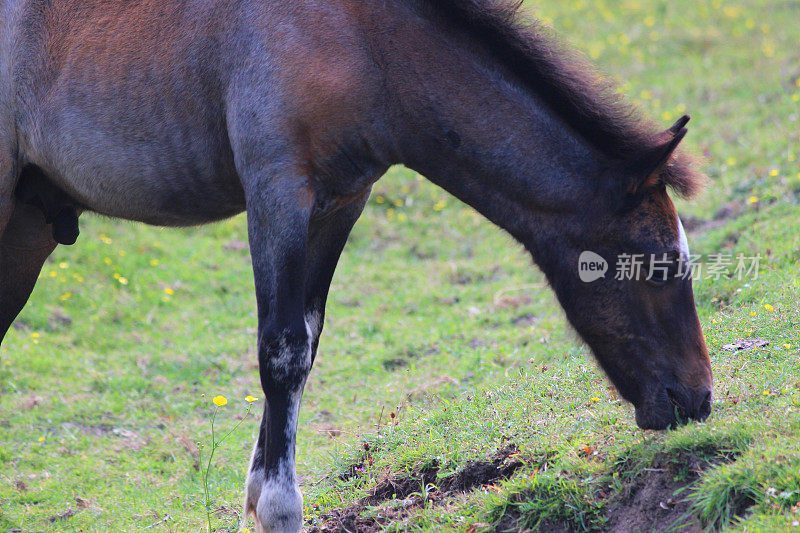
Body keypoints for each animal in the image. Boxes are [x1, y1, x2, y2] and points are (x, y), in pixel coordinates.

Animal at [0, 0, 712, 528]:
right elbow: (281, 350)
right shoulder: (278, 192)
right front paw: (281, 508)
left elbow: (307, 342)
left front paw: (258, 497)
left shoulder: (342, 200)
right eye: (657, 263)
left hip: (28, 230)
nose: (698, 398)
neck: (365, 49)